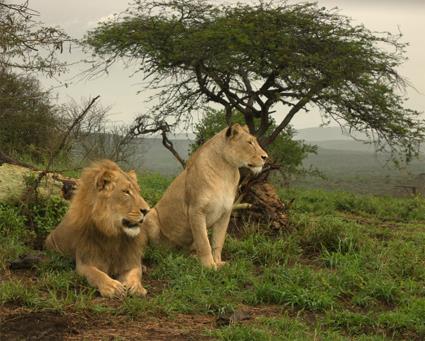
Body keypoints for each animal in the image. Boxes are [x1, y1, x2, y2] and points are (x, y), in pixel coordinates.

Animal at [44, 160, 150, 298]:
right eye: (126, 192)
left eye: (138, 191)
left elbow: (136, 272)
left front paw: (136, 286)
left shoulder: (130, 258)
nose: (147, 210)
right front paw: (112, 286)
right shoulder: (85, 261)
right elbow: (96, 274)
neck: (113, 234)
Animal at [144, 123, 266, 270]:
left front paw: (218, 263)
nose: (265, 157)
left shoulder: (225, 214)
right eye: (249, 143)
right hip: (150, 215)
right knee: (156, 248)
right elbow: (204, 242)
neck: (226, 172)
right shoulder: (195, 211)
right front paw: (209, 266)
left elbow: (218, 241)